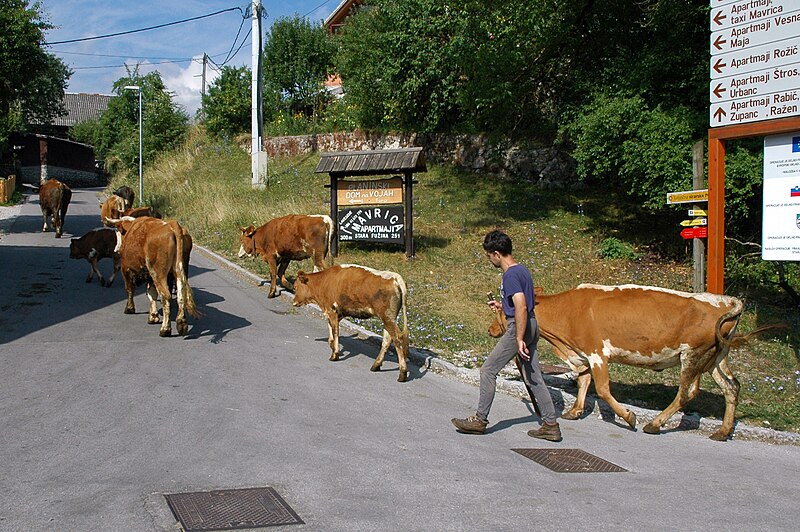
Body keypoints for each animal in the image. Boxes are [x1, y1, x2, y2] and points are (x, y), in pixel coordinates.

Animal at [490, 284, 748, 442]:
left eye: (500, 310)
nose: (491, 329)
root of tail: (724, 301)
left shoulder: (597, 353)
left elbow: (603, 389)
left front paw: (628, 417)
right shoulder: (582, 354)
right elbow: (583, 382)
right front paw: (575, 411)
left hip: (693, 355)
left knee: (687, 392)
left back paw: (654, 424)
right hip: (716, 357)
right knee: (731, 386)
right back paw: (723, 431)